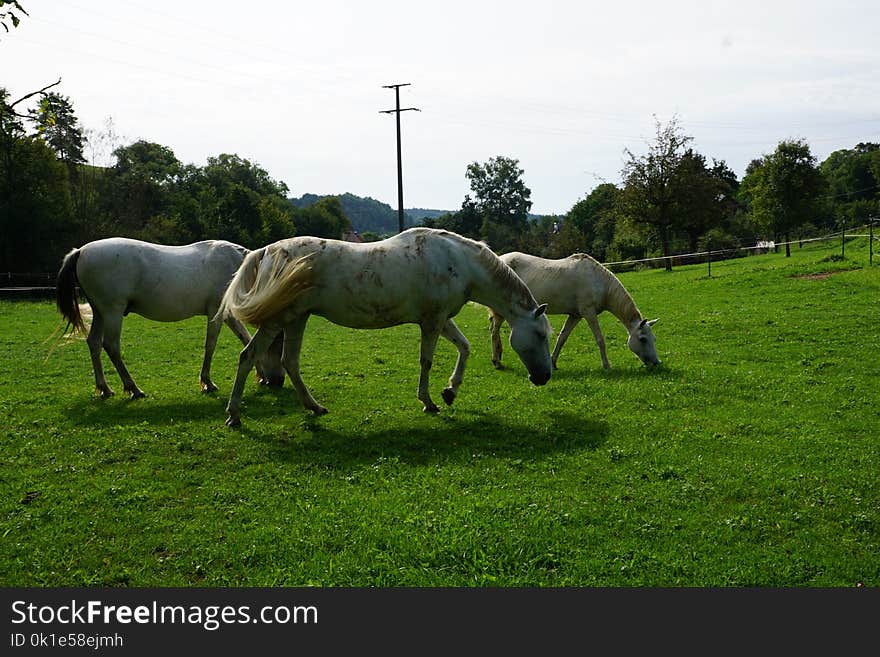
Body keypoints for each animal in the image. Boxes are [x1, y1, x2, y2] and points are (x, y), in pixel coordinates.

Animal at [56, 238, 284, 398]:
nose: (278, 382)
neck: (236, 267)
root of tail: (81, 251)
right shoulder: (216, 313)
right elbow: (210, 345)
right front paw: (207, 382)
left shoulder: (227, 314)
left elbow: (246, 339)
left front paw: (261, 375)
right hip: (112, 312)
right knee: (111, 346)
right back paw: (133, 388)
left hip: (100, 312)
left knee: (94, 343)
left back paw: (104, 388)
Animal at [220, 226, 552, 426]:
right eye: (539, 335)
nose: (543, 377)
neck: (458, 261)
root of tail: (264, 252)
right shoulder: (432, 322)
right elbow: (426, 361)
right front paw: (429, 401)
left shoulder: (441, 319)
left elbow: (465, 347)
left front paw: (450, 390)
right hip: (278, 320)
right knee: (249, 357)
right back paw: (234, 414)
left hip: (296, 318)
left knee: (289, 362)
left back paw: (314, 407)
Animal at [488, 251, 660, 372]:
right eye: (643, 339)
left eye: (654, 339)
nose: (657, 363)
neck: (599, 281)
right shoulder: (588, 312)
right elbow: (600, 339)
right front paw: (607, 365)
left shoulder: (575, 316)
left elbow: (562, 338)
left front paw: (553, 362)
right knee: (494, 332)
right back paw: (497, 361)